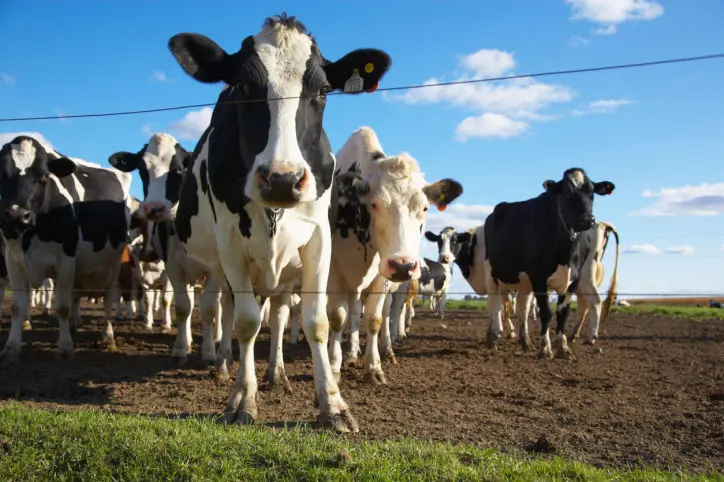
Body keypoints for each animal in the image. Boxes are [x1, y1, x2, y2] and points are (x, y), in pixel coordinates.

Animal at [0, 134, 132, 360]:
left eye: (43, 177)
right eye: (1, 173)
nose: (16, 215)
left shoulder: (66, 259)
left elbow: (61, 307)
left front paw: (64, 348)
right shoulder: (13, 259)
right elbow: (18, 306)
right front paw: (11, 347)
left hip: (113, 264)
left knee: (108, 299)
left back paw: (108, 337)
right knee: (76, 297)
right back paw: (72, 328)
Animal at [162, 12, 396, 430]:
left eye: (323, 90)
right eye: (242, 85)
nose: (283, 179)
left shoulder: (319, 239)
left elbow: (316, 321)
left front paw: (332, 405)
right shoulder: (230, 243)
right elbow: (245, 322)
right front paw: (242, 399)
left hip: (286, 273)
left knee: (281, 312)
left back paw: (277, 374)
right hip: (219, 266)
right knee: (224, 310)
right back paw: (224, 364)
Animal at [326, 126, 460, 386]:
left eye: (424, 207)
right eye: (375, 204)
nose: (403, 266)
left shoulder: (382, 275)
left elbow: (375, 319)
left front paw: (374, 367)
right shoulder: (332, 270)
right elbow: (337, 317)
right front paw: (334, 367)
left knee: (382, 313)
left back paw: (383, 350)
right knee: (352, 313)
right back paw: (351, 353)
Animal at [480, 168, 616, 360]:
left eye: (592, 193)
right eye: (566, 193)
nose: (586, 220)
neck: (565, 253)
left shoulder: (573, 280)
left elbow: (562, 313)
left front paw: (563, 347)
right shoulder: (539, 278)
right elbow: (546, 312)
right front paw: (545, 347)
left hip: (525, 281)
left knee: (522, 306)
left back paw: (525, 340)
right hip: (492, 273)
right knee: (495, 304)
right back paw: (493, 338)